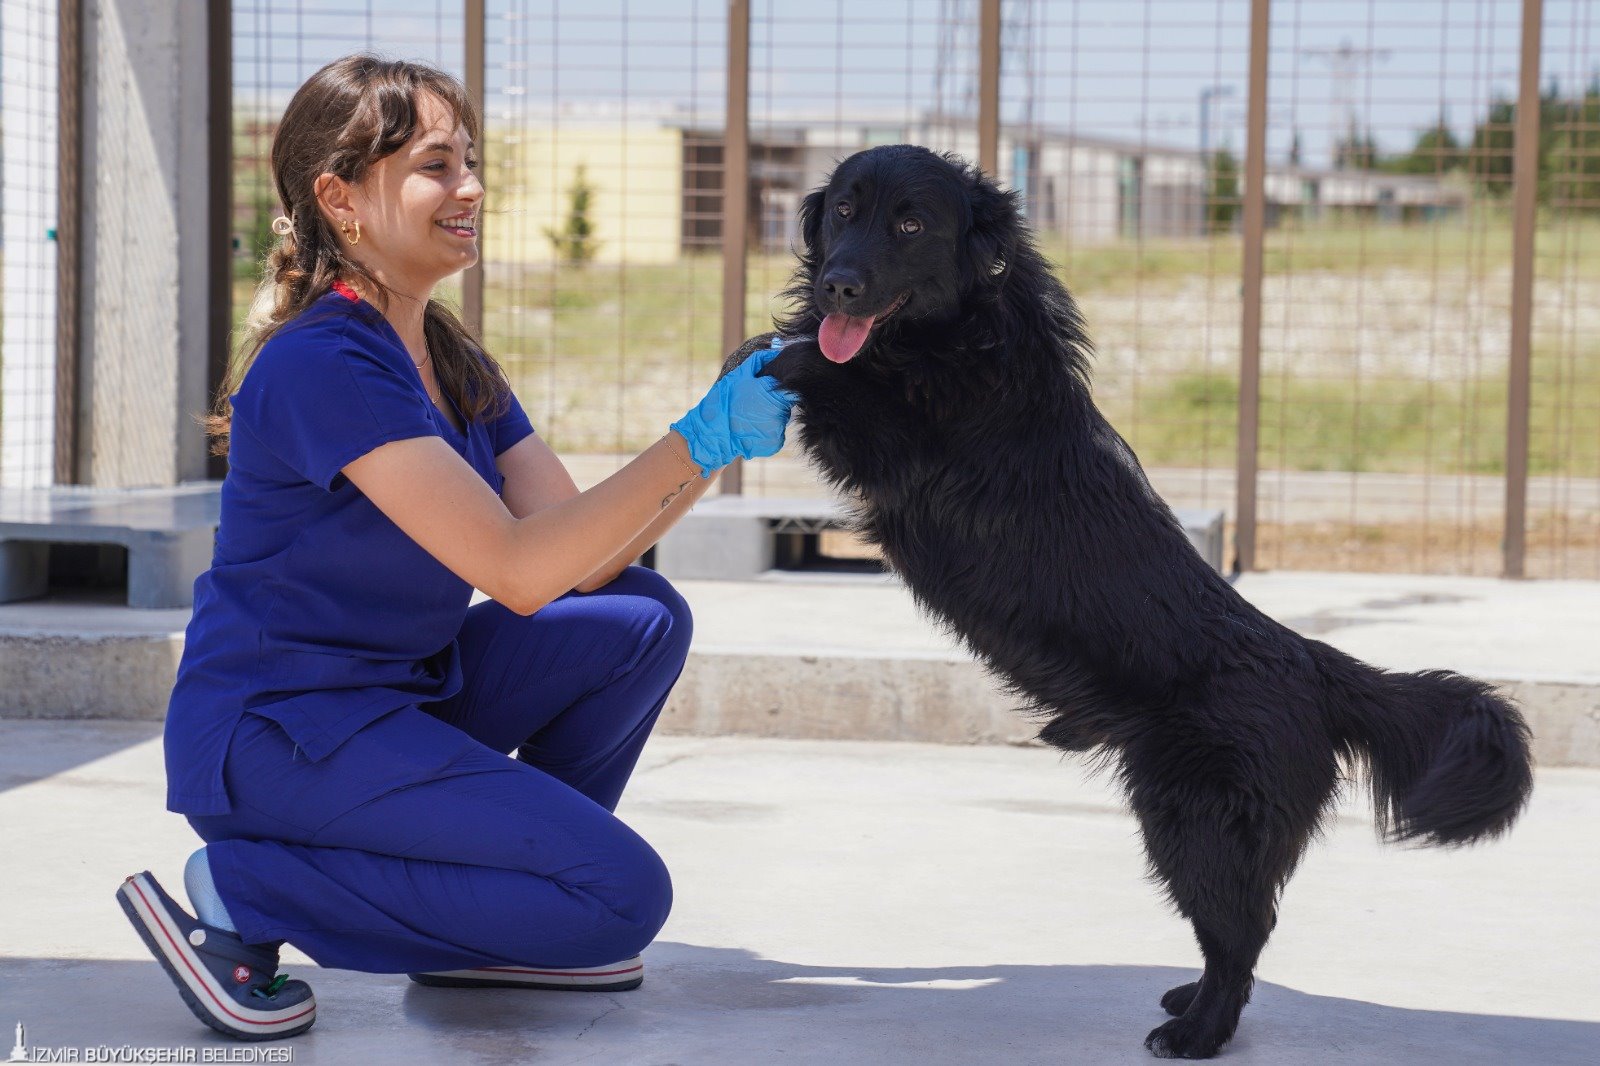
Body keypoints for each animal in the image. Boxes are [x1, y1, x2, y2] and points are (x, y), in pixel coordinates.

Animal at [720, 147, 1529, 1056]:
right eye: (845, 211)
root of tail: (1313, 664)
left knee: (1243, 935)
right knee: (1235, 936)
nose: (839, 287)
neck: (962, 330)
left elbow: (825, 372)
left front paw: (777, 358)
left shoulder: (898, 440)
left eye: (910, 223)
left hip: (1194, 822)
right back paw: (1188, 1002)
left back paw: (1198, 1034)